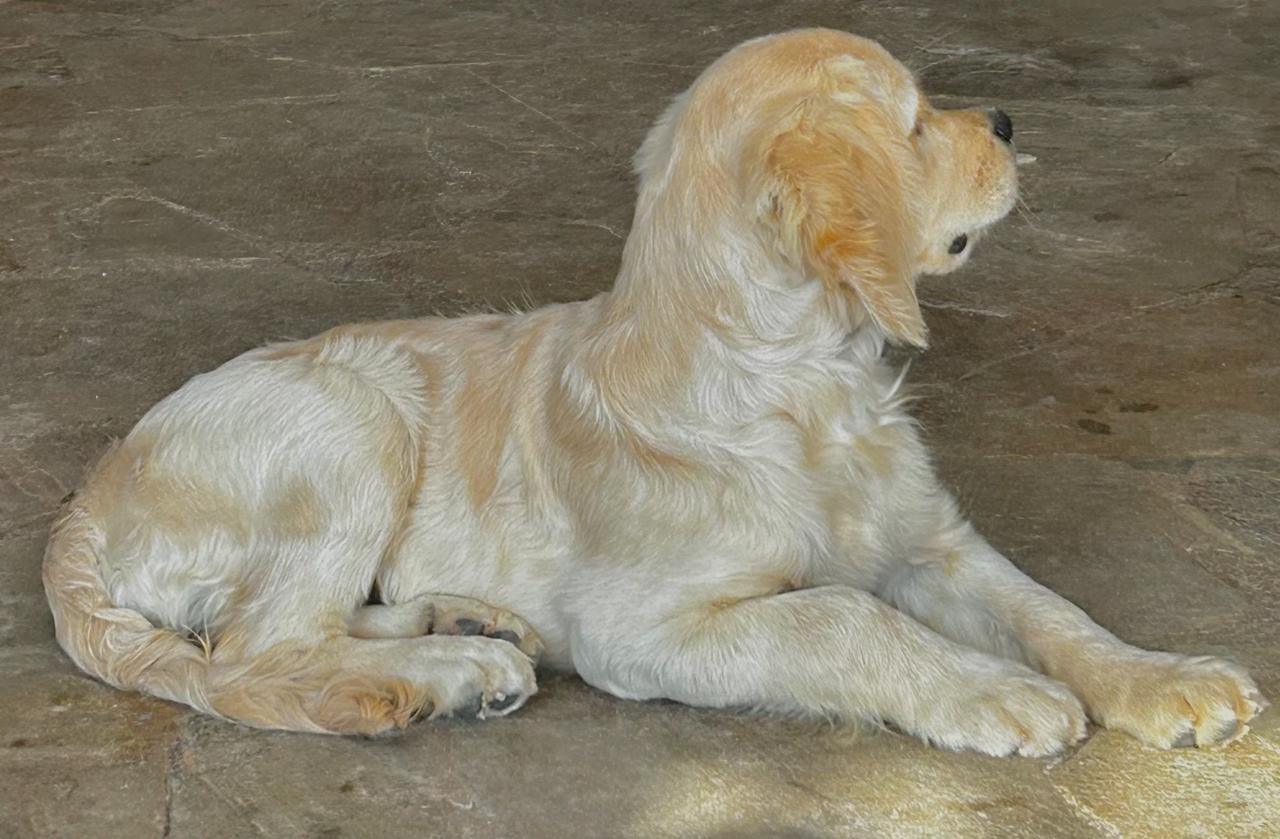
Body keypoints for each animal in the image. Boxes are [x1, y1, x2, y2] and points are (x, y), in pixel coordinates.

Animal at [45, 29, 1265, 755]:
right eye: (916, 122)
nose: (1009, 123)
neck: (797, 384)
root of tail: (89, 496)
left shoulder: (931, 540)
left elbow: (1048, 607)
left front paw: (1168, 678)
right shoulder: (639, 626)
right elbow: (839, 610)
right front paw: (993, 693)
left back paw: (457, 619)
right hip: (351, 419)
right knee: (253, 653)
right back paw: (442, 669)